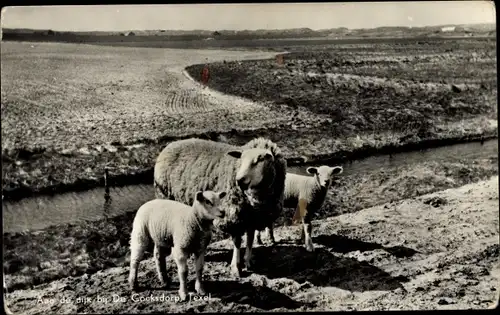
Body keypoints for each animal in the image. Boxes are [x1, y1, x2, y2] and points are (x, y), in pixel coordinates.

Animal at [153, 137, 286, 278]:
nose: (239, 180)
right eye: (241, 159)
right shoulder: (233, 217)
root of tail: (168, 147)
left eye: (260, 159)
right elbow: (237, 241)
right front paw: (236, 267)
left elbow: (250, 239)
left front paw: (248, 261)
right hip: (164, 197)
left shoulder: (252, 218)